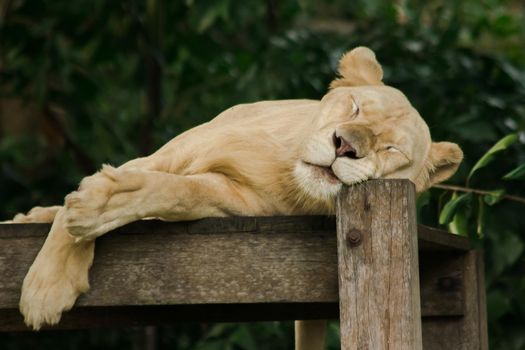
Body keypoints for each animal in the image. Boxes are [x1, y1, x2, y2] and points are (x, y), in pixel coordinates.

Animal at [7, 47, 458, 350]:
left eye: (390, 150)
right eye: (355, 107)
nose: (344, 145)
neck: (284, 163)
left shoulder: (234, 198)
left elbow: (171, 193)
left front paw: (97, 206)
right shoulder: (169, 154)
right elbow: (98, 199)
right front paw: (49, 282)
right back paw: (29, 216)